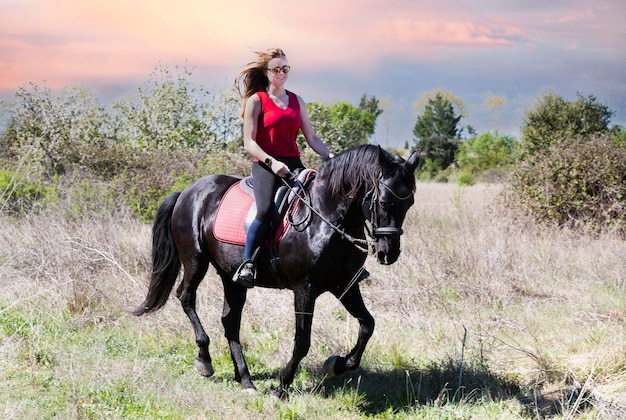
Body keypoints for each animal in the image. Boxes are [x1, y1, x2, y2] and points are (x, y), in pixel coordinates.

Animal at [132, 145, 420, 400]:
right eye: (384, 201)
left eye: (409, 203)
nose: (388, 253)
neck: (327, 217)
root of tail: (187, 192)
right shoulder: (305, 288)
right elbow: (302, 341)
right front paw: (281, 387)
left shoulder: (345, 285)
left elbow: (367, 325)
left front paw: (336, 364)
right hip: (195, 261)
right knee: (186, 297)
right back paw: (205, 360)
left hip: (231, 277)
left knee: (229, 321)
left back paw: (245, 379)